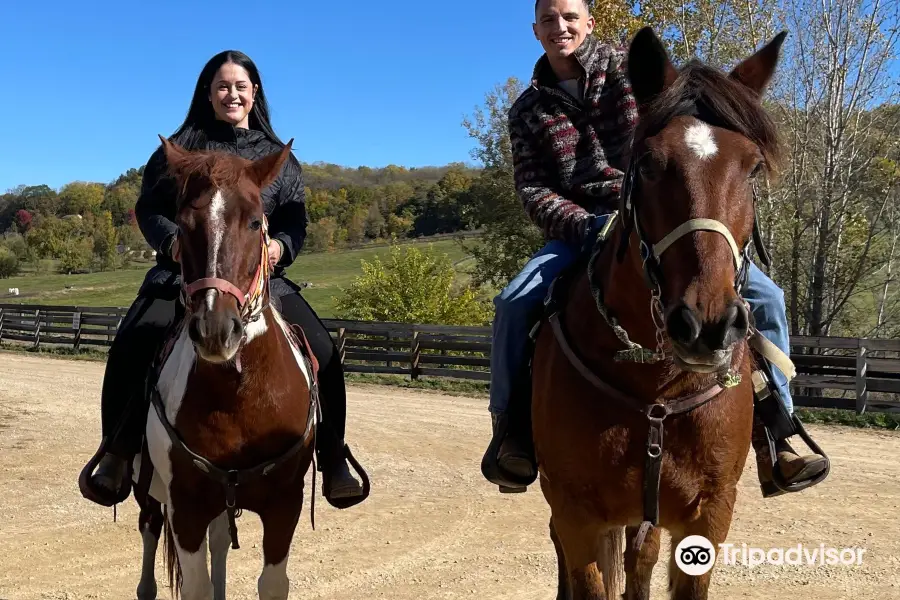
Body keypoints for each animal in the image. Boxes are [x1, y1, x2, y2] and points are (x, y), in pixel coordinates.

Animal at [125, 137, 324, 600]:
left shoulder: (284, 504)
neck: (238, 396)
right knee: (149, 529)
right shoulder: (187, 507)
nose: (216, 330)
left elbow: (272, 583)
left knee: (219, 541)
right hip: (152, 494)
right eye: (182, 226)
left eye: (254, 222)